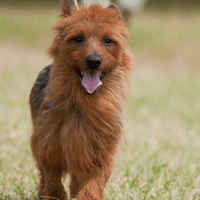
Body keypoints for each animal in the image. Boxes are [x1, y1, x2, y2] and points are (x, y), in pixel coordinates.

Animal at [29, 0, 133, 199]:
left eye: (107, 41)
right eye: (78, 39)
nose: (93, 61)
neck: (84, 103)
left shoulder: (101, 154)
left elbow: (92, 185)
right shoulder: (47, 146)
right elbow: (52, 180)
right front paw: (53, 194)